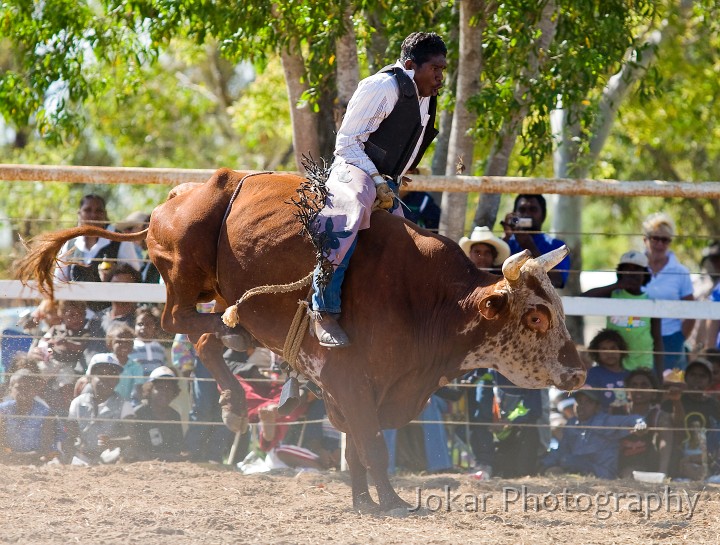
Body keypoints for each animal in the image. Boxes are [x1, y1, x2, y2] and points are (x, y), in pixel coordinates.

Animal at [16, 169, 584, 510]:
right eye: (536, 318)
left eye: (558, 310)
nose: (577, 372)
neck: (427, 301)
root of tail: (174, 198)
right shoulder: (350, 378)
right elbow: (371, 444)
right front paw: (391, 503)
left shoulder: (359, 388)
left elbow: (357, 446)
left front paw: (363, 500)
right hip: (182, 270)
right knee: (180, 320)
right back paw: (238, 333)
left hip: (206, 285)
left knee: (201, 340)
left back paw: (232, 396)